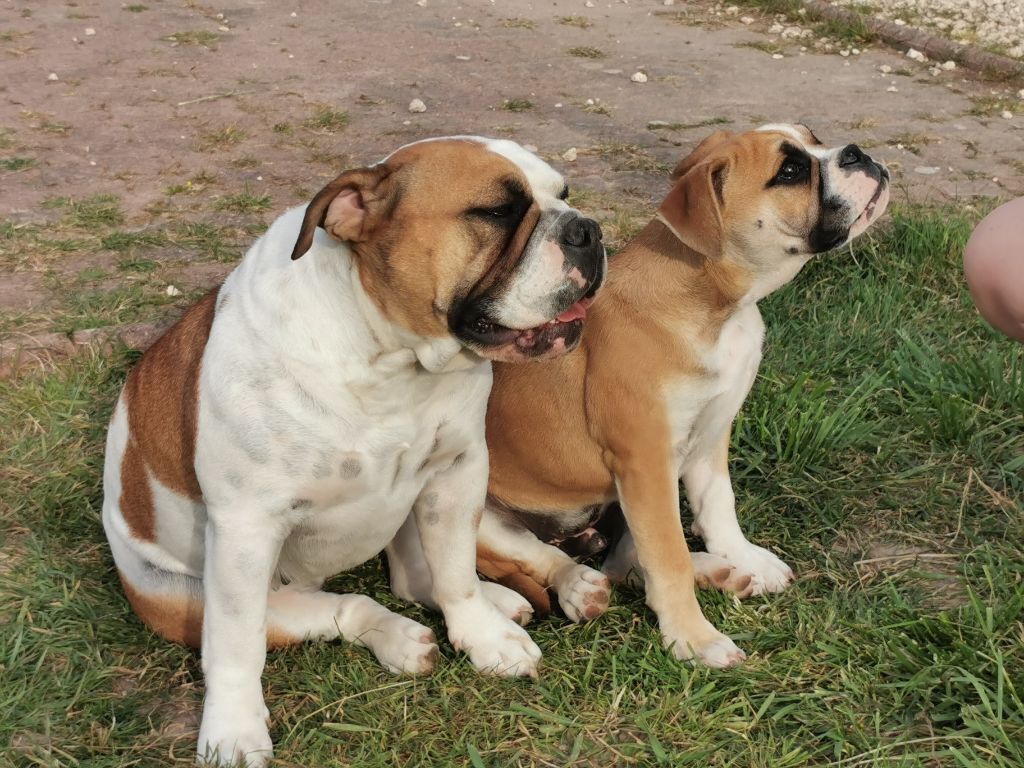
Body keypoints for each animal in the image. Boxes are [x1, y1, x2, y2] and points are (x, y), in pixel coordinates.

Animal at [101, 136, 605, 767]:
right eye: (496, 212)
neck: (390, 357)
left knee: (419, 579)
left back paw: (515, 596)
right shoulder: (245, 531)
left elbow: (455, 574)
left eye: (565, 193)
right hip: (183, 595)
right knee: (332, 611)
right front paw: (233, 729)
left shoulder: (458, 473)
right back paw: (399, 638)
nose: (588, 228)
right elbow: (238, 647)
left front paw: (484, 635)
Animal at [391, 125, 889, 668]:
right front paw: (694, 638)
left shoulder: (709, 438)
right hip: (478, 514)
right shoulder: (647, 463)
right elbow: (667, 556)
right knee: (551, 558)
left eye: (814, 140)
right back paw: (580, 590)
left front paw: (741, 557)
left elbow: (718, 508)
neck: (716, 307)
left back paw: (720, 571)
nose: (858, 153)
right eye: (792, 171)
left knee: (624, 559)